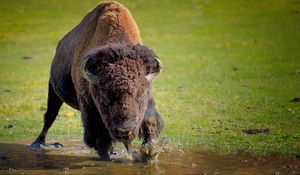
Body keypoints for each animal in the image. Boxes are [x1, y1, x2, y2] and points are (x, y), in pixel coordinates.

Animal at [31, 1, 164, 161]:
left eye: (141, 94)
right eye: (104, 96)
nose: (124, 130)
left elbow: (151, 121)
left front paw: (150, 153)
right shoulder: (90, 109)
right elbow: (99, 138)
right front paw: (106, 157)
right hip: (53, 91)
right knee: (50, 116)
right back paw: (37, 143)